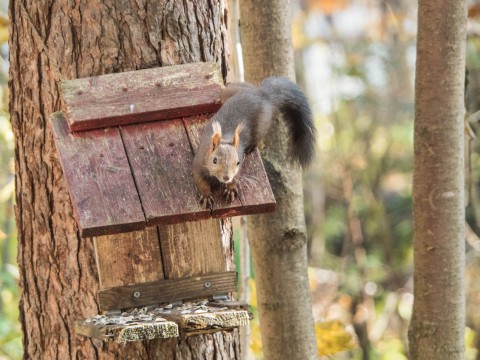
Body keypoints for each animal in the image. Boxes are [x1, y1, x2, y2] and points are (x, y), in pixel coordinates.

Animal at [191, 77, 316, 210]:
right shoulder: (198, 163)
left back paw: (250, 148)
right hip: (230, 91)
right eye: (214, 160)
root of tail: (262, 93)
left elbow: (236, 177)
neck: (225, 137)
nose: (226, 177)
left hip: (262, 125)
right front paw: (206, 196)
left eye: (237, 162)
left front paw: (231, 189)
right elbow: (200, 181)